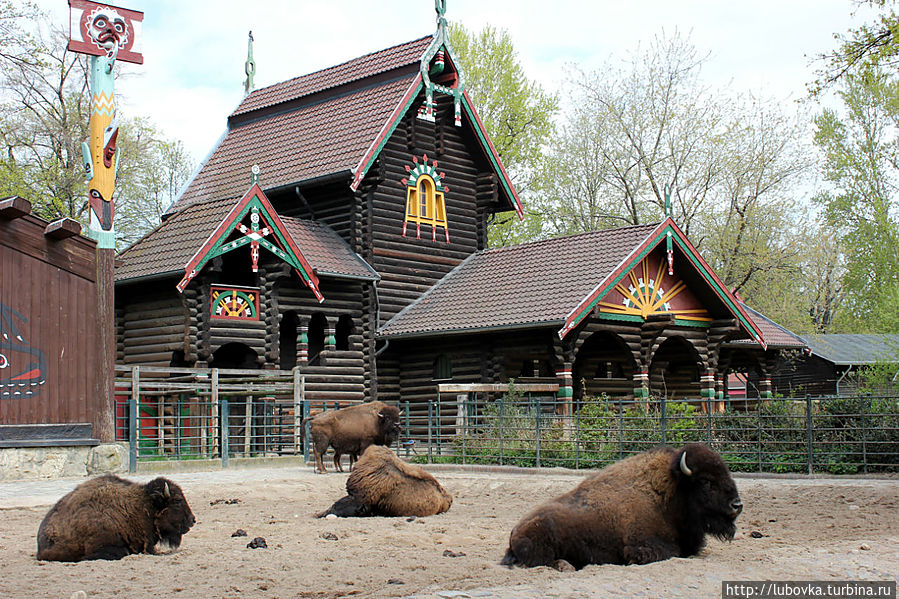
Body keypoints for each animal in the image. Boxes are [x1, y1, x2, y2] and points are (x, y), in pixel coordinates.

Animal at [502, 442, 740, 568]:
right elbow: (671, 551)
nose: (737, 504)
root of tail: (514, 531)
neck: (670, 494)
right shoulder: (640, 546)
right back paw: (566, 566)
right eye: (706, 482)